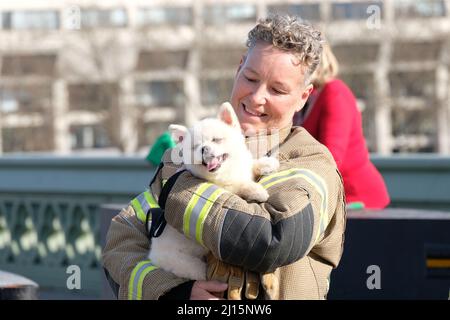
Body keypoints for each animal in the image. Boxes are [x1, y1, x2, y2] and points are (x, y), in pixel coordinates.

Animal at [149, 102, 280, 280]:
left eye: (216, 140)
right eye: (195, 147)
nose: (204, 149)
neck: (225, 171)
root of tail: (152, 255)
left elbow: (251, 166)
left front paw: (266, 163)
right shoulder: (225, 188)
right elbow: (239, 185)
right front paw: (256, 190)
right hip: (184, 263)